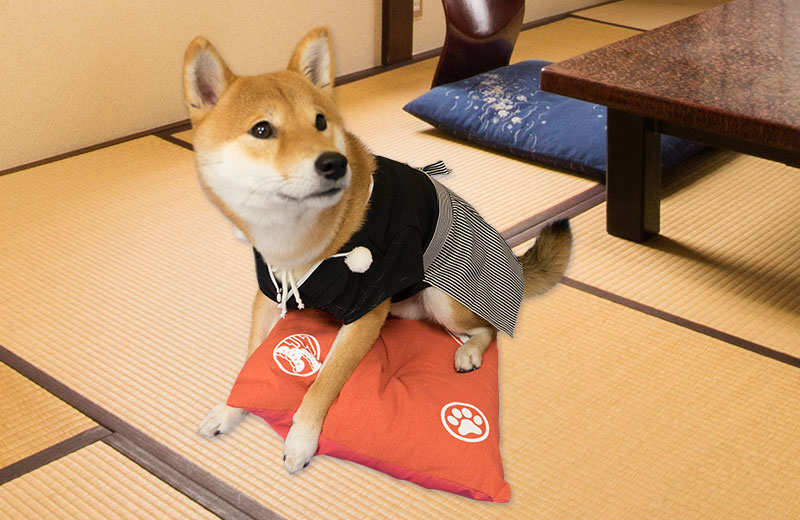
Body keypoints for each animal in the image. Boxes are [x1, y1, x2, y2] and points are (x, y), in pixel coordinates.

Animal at [184, 28, 572, 476]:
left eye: (320, 122)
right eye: (262, 130)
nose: (334, 164)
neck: (295, 241)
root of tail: (516, 264)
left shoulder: (366, 309)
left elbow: (324, 382)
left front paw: (301, 439)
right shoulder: (269, 294)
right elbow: (249, 360)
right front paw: (230, 408)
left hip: (441, 296)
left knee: (488, 329)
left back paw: (468, 353)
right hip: (404, 305)